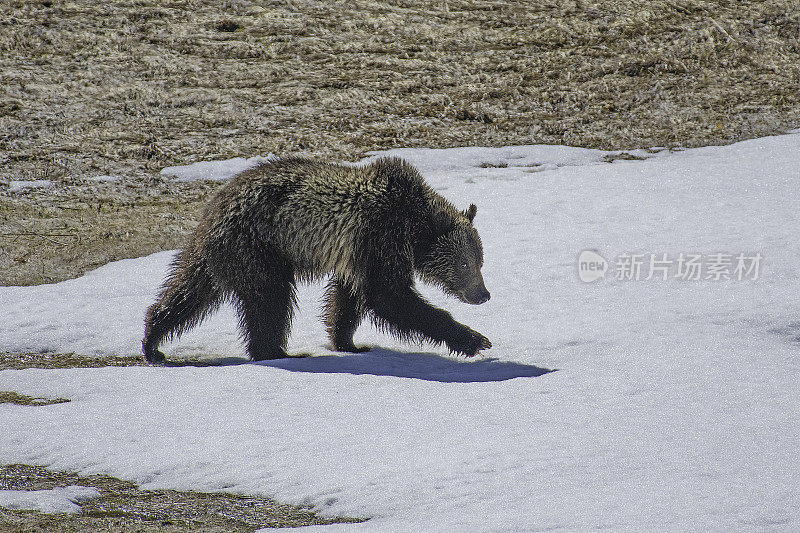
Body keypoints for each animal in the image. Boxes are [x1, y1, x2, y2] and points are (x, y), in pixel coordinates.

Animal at [145, 155, 494, 362]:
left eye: (480, 261)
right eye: (465, 263)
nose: (483, 294)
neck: (413, 223)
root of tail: (214, 207)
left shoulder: (359, 252)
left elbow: (348, 297)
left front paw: (348, 342)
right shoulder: (381, 234)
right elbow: (389, 295)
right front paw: (474, 339)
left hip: (216, 254)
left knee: (188, 292)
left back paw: (153, 339)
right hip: (259, 246)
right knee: (270, 299)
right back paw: (275, 351)